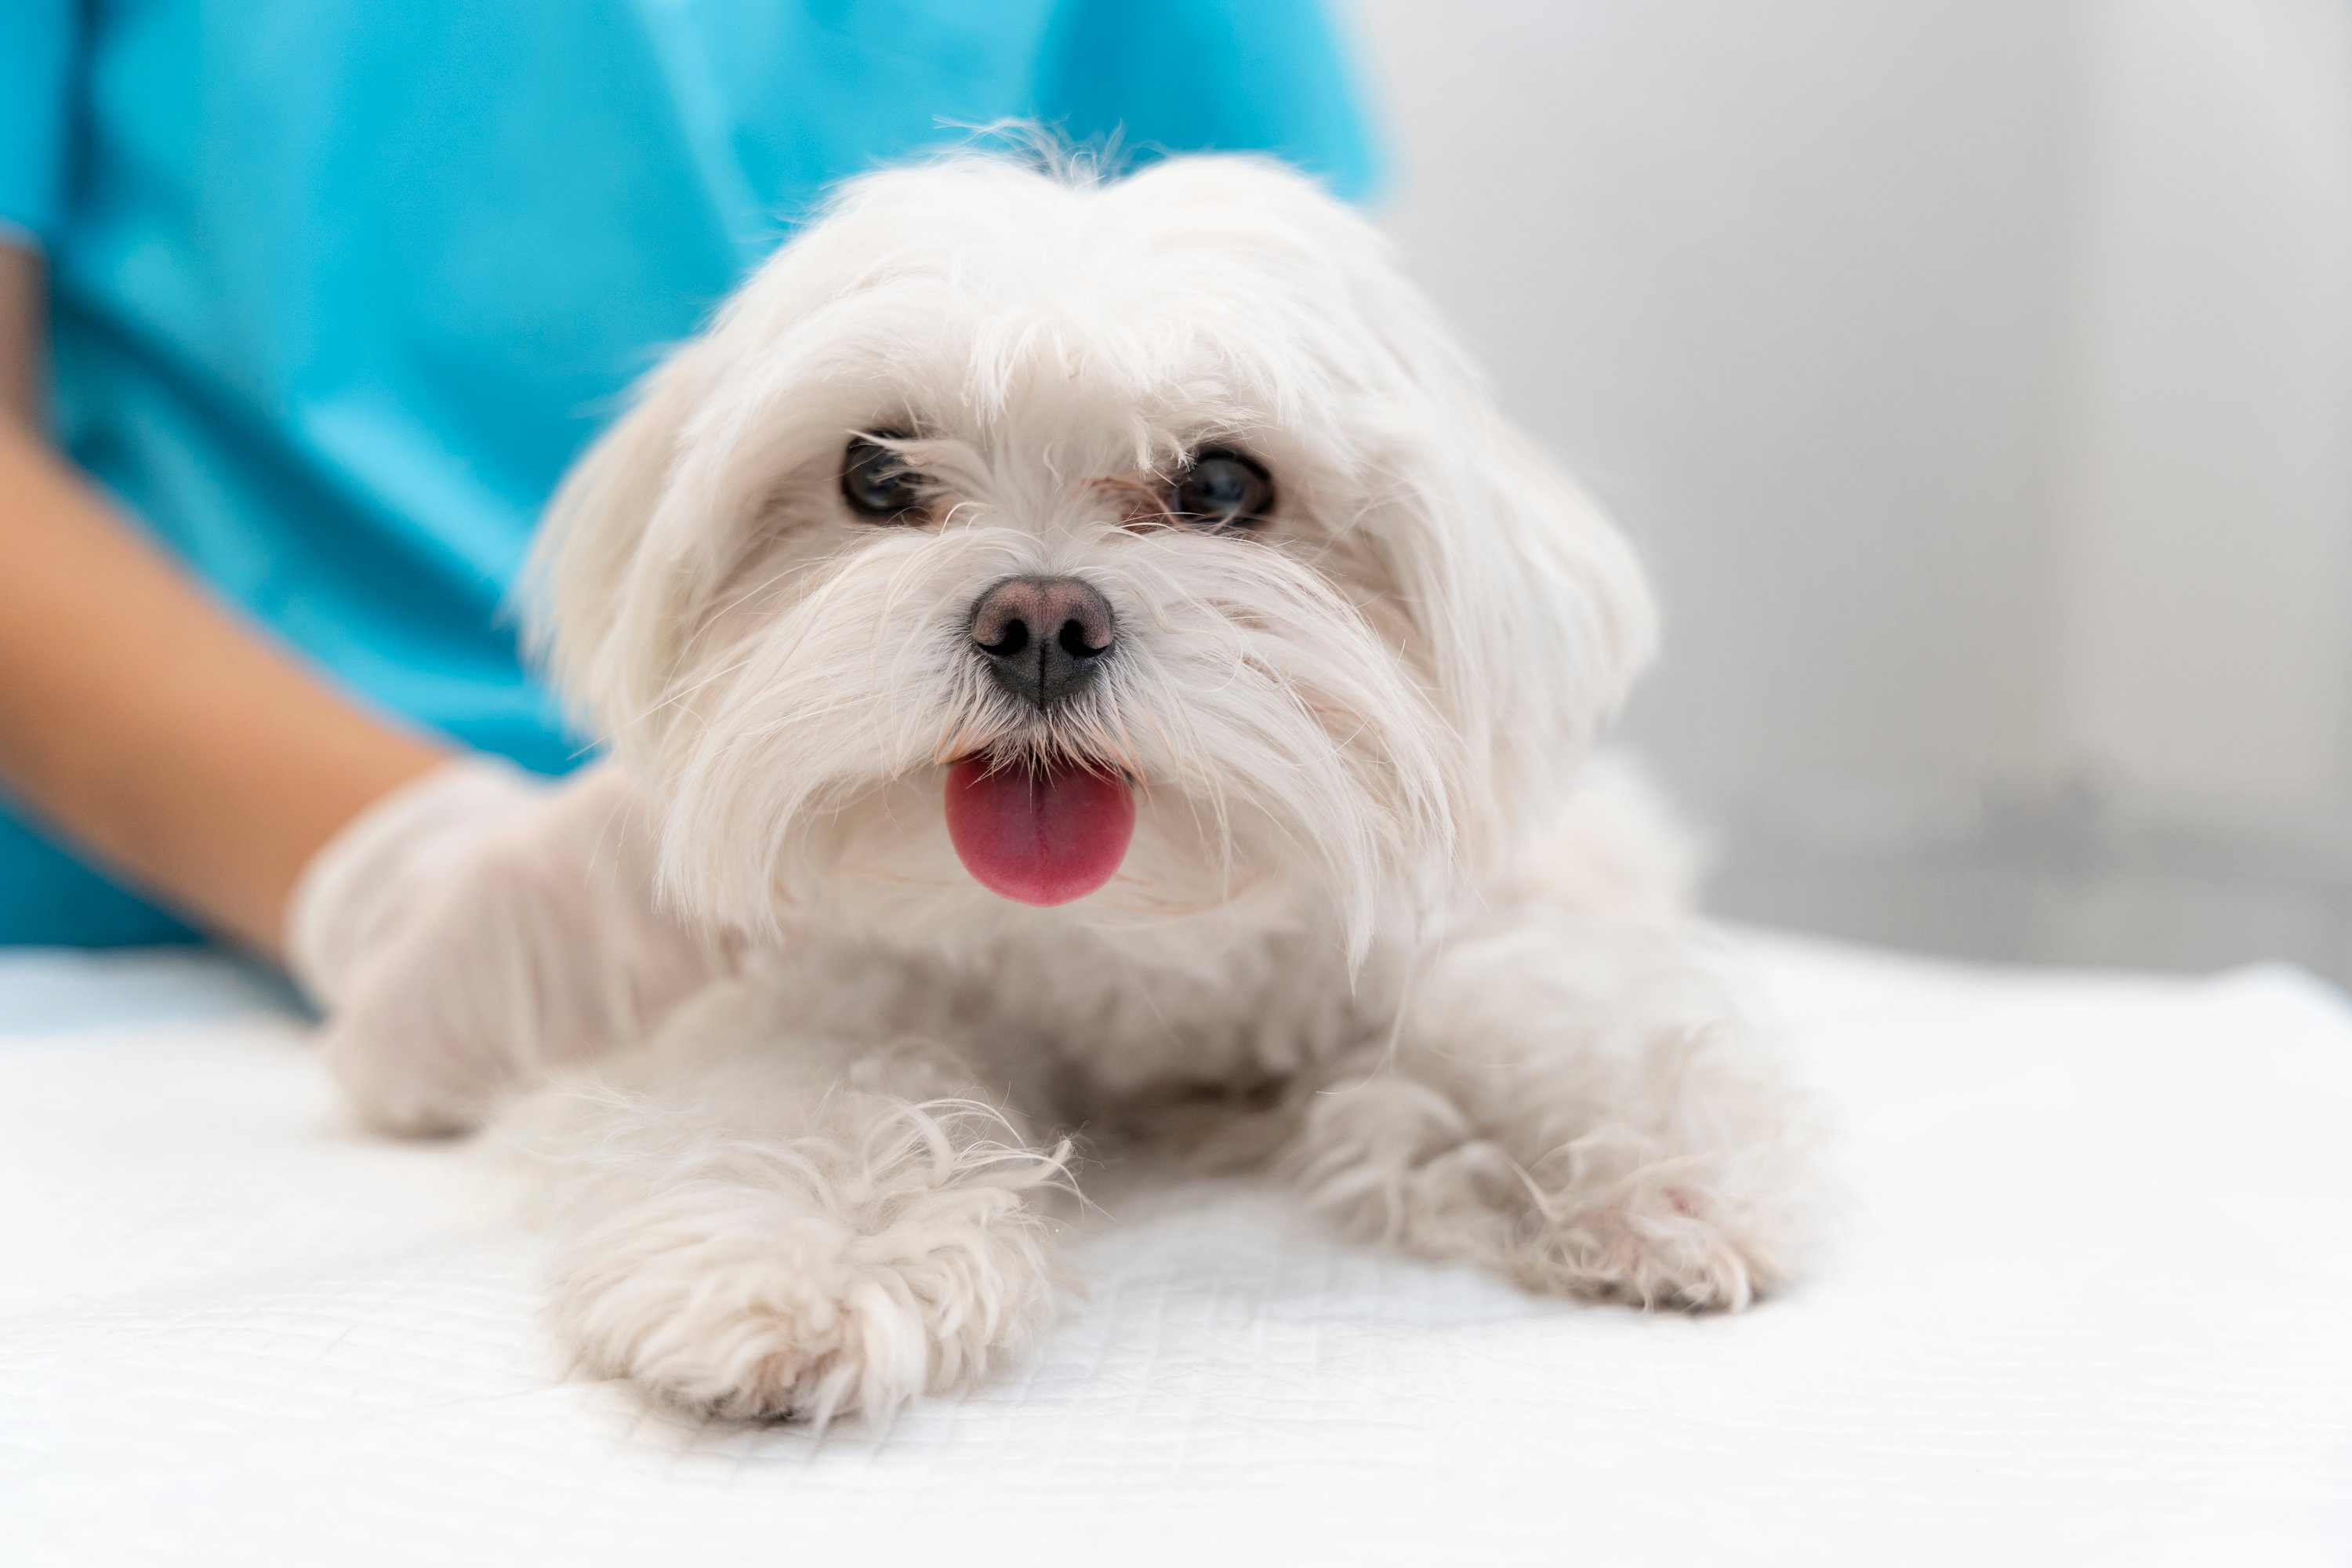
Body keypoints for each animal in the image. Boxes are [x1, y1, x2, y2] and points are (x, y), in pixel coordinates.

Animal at [327, 152, 1816, 1429]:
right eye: (876, 471)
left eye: (1220, 482)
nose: (1040, 617)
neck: (1120, 939)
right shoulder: (840, 984)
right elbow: (813, 1087)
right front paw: (803, 1254)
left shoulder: (1409, 939)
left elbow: (1533, 1006)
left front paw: (1655, 1168)